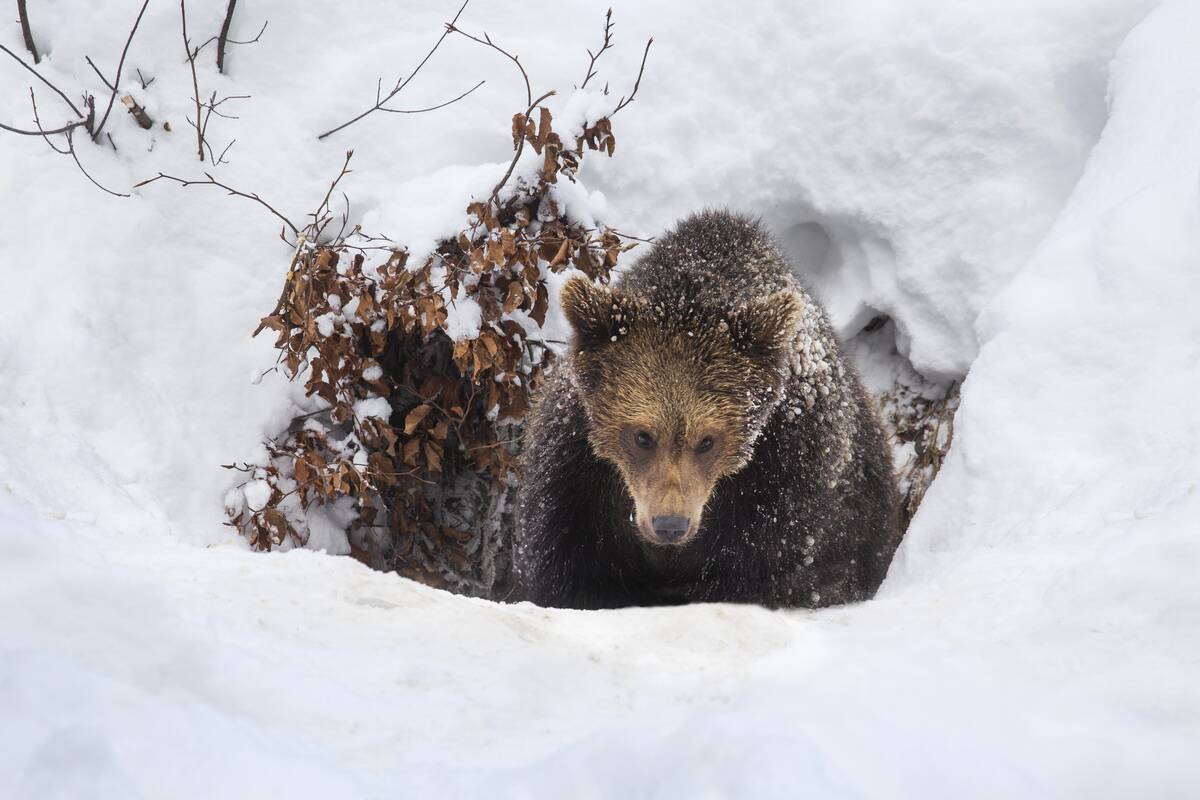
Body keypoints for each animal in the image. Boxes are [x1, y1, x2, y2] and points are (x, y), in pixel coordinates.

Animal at [514, 210, 901, 609]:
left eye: (707, 441)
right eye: (642, 436)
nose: (670, 525)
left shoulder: (788, 473)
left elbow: (772, 568)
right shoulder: (578, 473)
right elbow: (569, 563)